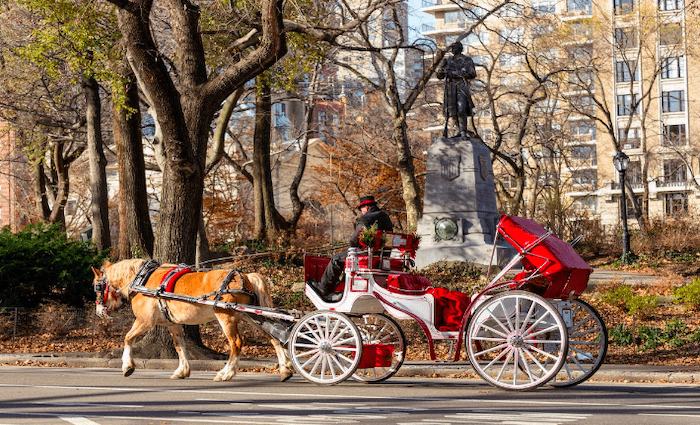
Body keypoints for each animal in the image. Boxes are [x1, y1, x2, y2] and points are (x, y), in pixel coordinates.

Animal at [91, 258, 292, 380]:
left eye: (96, 286)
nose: (99, 311)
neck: (141, 280)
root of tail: (246, 276)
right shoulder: (172, 324)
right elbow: (180, 346)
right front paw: (182, 370)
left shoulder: (144, 321)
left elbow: (128, 338)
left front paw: (127, 366)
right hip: (253, 315)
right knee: (273, 339)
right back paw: (285, 369)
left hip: (226, 316)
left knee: (236, 343)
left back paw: (226, 373)